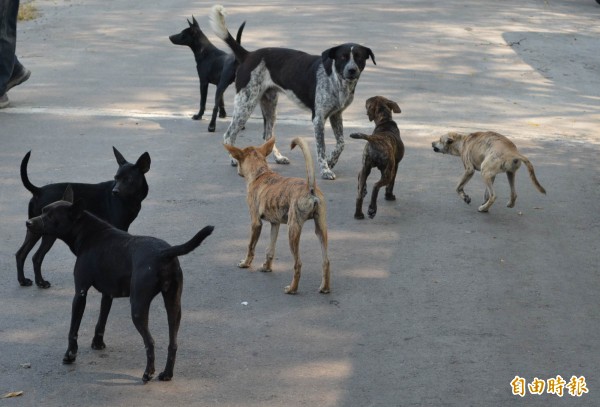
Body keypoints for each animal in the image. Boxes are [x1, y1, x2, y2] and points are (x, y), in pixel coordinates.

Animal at [16, 148, 150, 288]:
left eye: (129, 179)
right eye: (116, 178)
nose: (115, 191)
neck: (129, 199)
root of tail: (38, 190)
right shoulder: (119, 227)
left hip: (34, 228)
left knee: (21, 254)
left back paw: (23, 280)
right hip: (48, 232)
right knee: (37, 257)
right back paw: (41, 282)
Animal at [27, 186, 216, 384]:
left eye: (49, 216)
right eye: (42, 211)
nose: (28, 222)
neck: (88, 233)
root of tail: (165, 252)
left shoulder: (80, 293)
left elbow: (73, 329)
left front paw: (70, 355)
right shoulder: (107, 295)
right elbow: (101, 321)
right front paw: (98, 343)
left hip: (138, 308)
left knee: (150, 342)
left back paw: (148, 373)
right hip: (173, 306)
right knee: (173, 343)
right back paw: (166, 373)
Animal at [209, 4, 372, 180]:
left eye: (359, 57)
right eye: (343, 57)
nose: (352, 70)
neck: (336, 79)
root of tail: (248, 55)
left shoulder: (336, 115)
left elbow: (341, 143)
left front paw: (331, 161)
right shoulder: (318, 119)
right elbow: (321, 149)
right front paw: (325, 169)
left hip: (270, 107)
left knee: (267, 136)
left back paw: (278, 158)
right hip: (245, 105)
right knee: (229, 135)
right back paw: (233, 159)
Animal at [224, 139, 330, 294]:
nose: (237, 171)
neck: (260, 174)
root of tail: (310, 188)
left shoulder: (256, 223)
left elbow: (250, 246)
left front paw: (245, 263)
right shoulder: (275, 224)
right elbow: (270, 249)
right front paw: (267, 267)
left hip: (293, 230)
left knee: (298, 264)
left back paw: (292, 288)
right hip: (321, 229)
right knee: (326, 261)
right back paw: (325, 287)